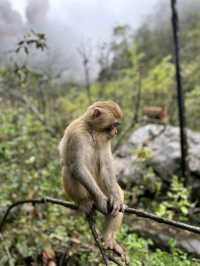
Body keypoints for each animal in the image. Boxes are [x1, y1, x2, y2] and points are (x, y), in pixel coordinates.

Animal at [58, 101, 129, 262]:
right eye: (114, 124)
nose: (115, 132)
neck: (92, 129)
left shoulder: (105, 139)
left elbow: (107, 166)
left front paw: (116, 200)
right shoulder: (77, 134)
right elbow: (78, 167)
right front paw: (101, 200)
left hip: (101, 184)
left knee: (118, 194)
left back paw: (109, 240)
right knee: (69, 171)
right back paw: (85, 201)